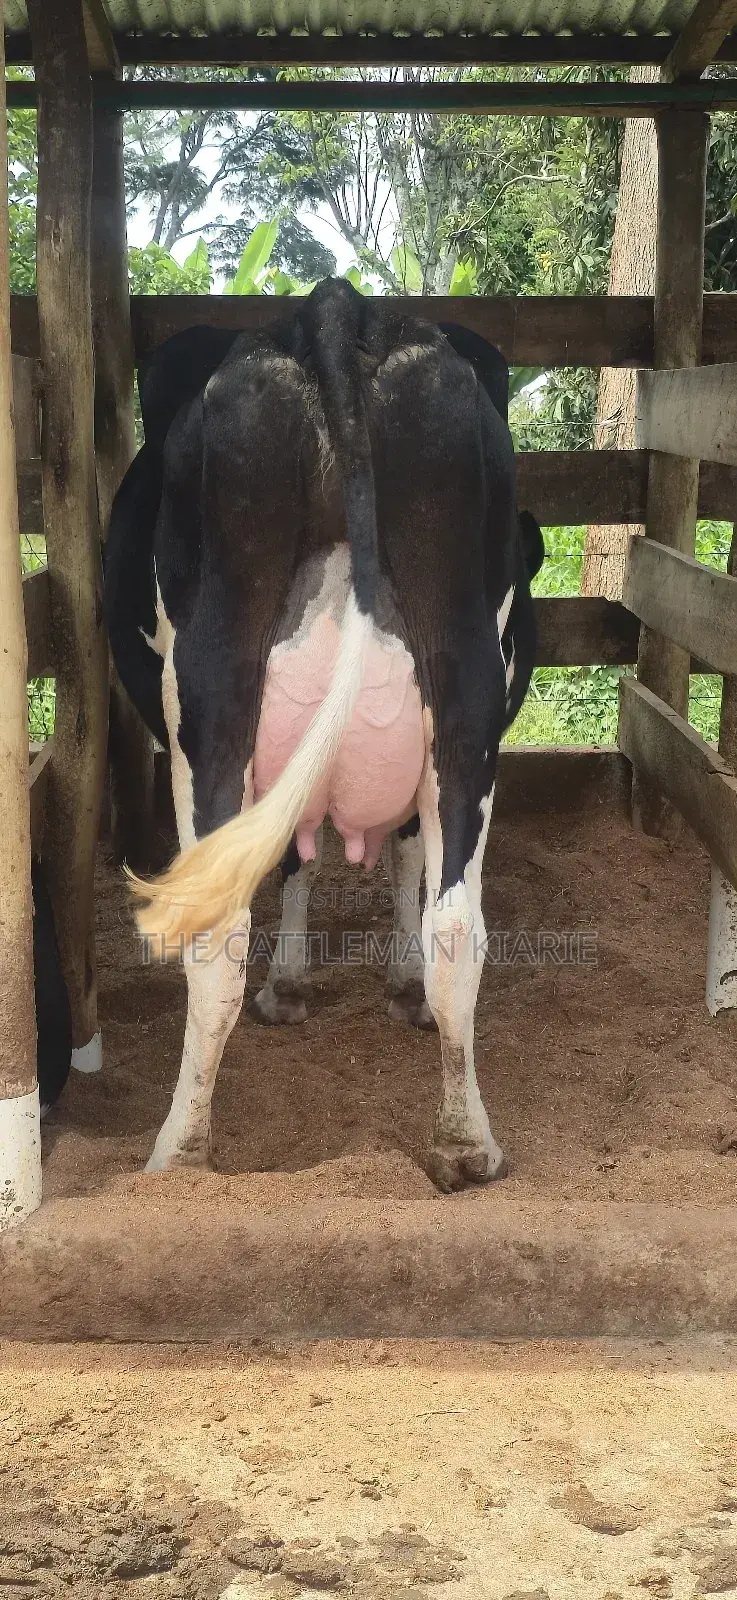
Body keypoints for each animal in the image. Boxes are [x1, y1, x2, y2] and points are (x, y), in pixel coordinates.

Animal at [104, 279, 542, 1189]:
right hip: (466, 685)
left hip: (205, 691)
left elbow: (291, 863)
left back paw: (178, 1153)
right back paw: (465, 1145)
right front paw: (388, 982)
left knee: (216, 925)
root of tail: (337, 306)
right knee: (458, 925)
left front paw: (292, 986)